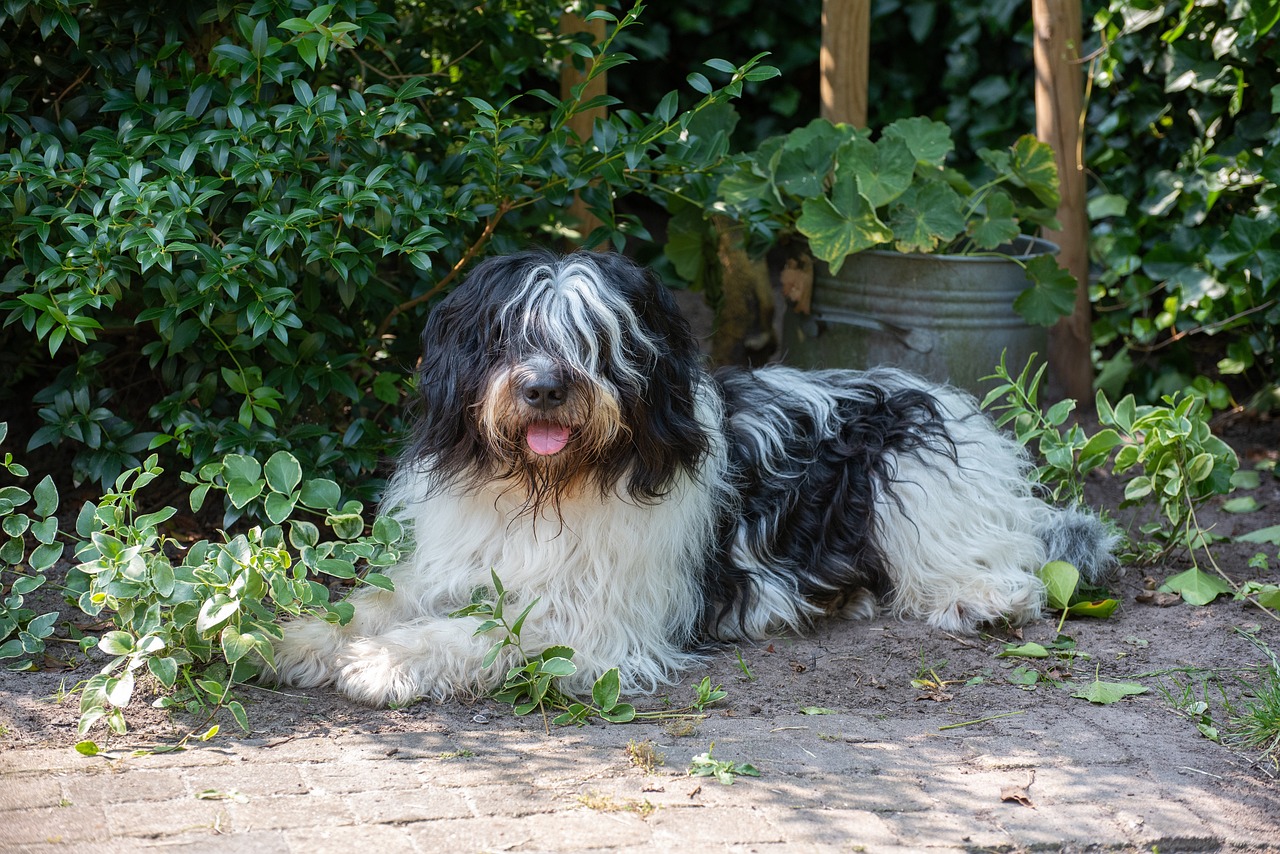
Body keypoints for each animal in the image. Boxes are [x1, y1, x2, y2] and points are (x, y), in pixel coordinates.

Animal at [275, 248, 1116, 706]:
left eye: (598, 338)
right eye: (509, 333)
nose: (544, 388)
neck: (549, 488)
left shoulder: (592, 622)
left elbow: (483, 631)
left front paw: (386, 662)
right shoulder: (452, 565)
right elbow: (380, 600)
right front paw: (306, 634)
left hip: (909, 476)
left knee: (1003, 563)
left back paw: (985, 598)